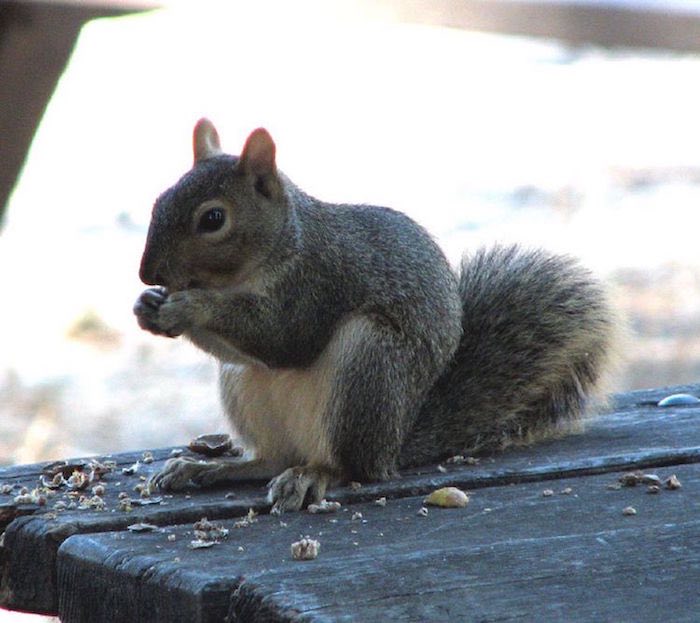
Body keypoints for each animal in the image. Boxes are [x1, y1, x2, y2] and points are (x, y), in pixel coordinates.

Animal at [134, 119, 616, 516]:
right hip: (244, 385)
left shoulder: (316, 285)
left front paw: (189, 306)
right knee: (274, 458)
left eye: (213, 218)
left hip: (368, 365)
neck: (280, 246)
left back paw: (313, 475)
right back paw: (206, 469)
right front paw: (148, 305)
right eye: (157, 202)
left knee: (350, 467)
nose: (147, 273)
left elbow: (283, 338)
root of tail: (393, 445)